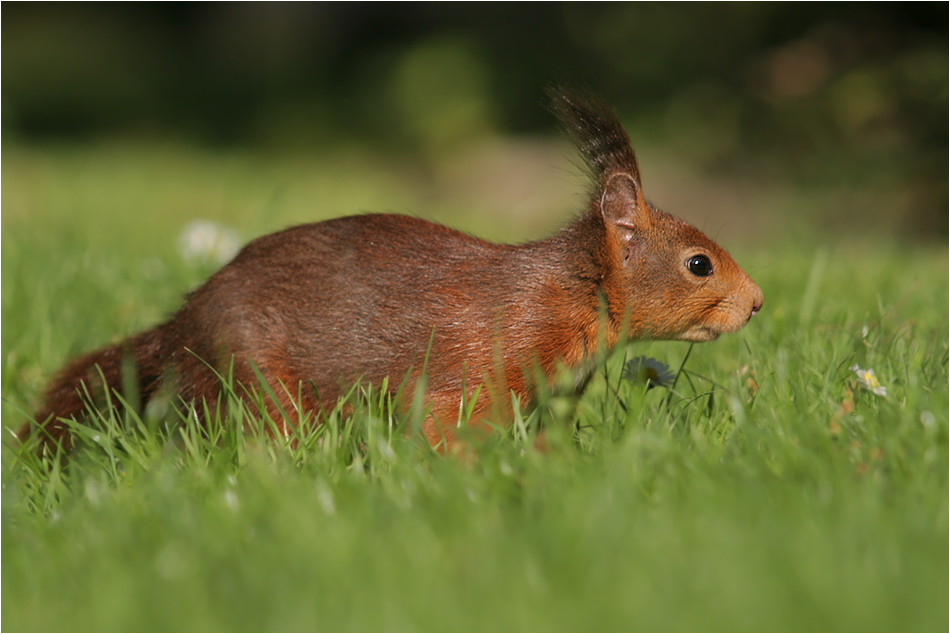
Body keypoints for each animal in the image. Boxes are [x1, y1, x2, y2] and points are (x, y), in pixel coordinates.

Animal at [18, 90, 768, 454]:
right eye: (699, 265)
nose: (758, 303)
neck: (570, 294)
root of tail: (175, 332)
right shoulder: (478, 367)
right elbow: (447, 429)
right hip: (252, 383)